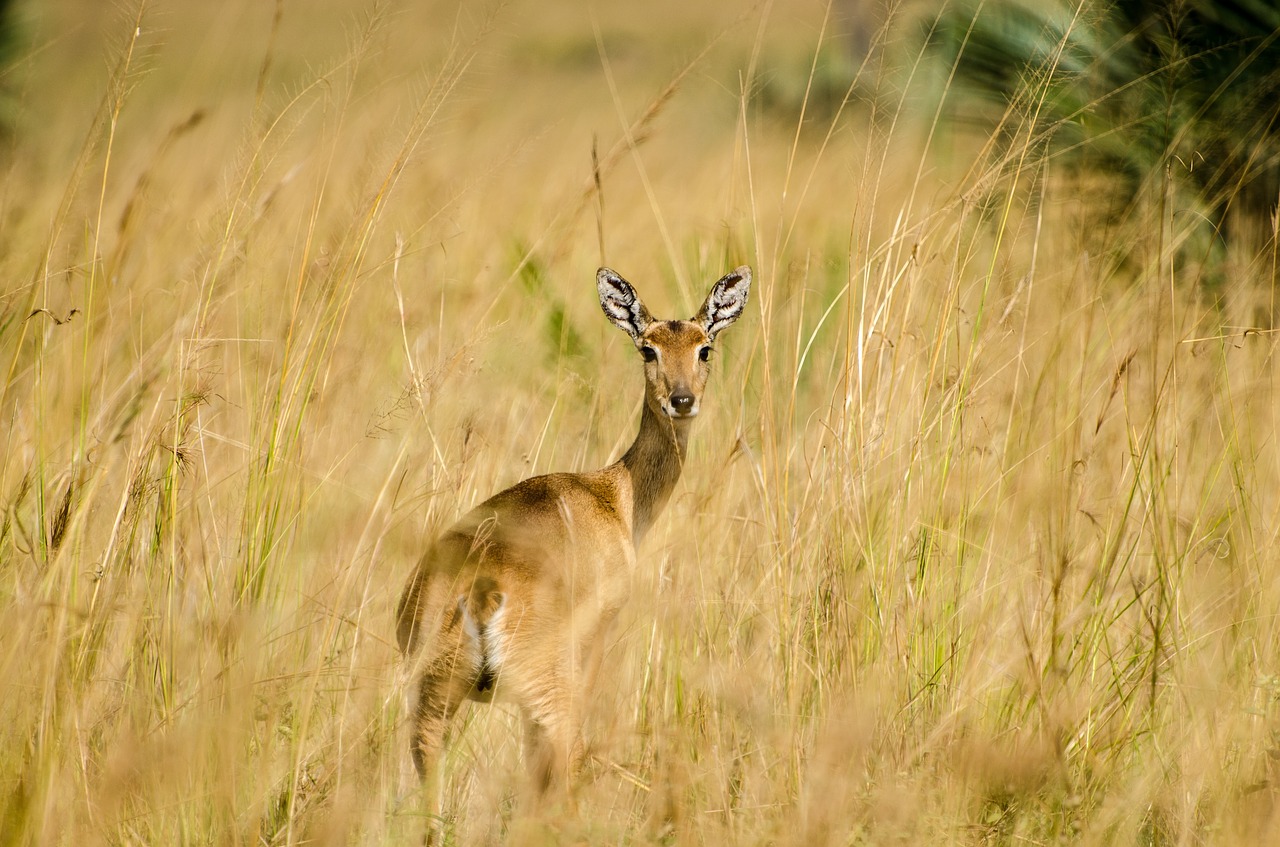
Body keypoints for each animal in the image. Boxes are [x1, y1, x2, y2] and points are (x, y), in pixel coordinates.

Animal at [391, 267, 747, 818]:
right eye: (648, 349)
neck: (614, 496)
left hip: (434, 702)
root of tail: (480, 592)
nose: (682, 400)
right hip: (543, 690)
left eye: (704, 347)